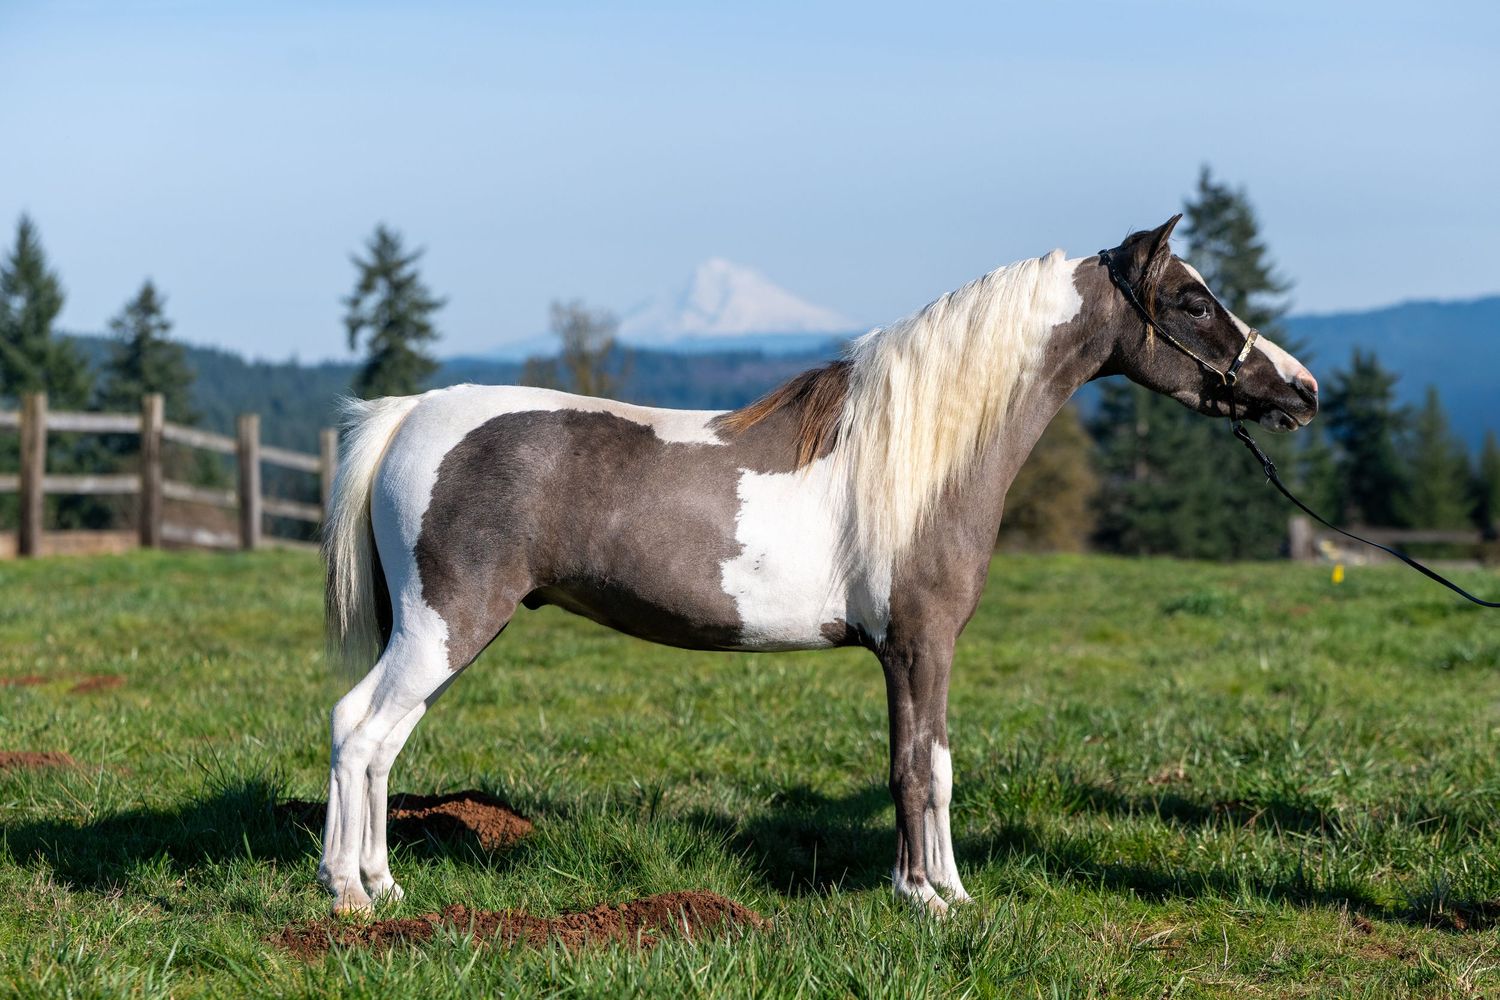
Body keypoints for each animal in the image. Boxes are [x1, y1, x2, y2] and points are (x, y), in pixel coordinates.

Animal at [315, 215, 1319, 916]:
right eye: (1192, 301)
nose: (1301, 390)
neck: (920, 455)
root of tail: (412, 415)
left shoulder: (913, 653)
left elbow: (927, 764)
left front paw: (947, 891)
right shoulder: (919, 646)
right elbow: (921, 769)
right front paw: (928, 899)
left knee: (379, 741)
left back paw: (382, 883)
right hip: (446, 628)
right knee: (360, 730)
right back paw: (350, 893)